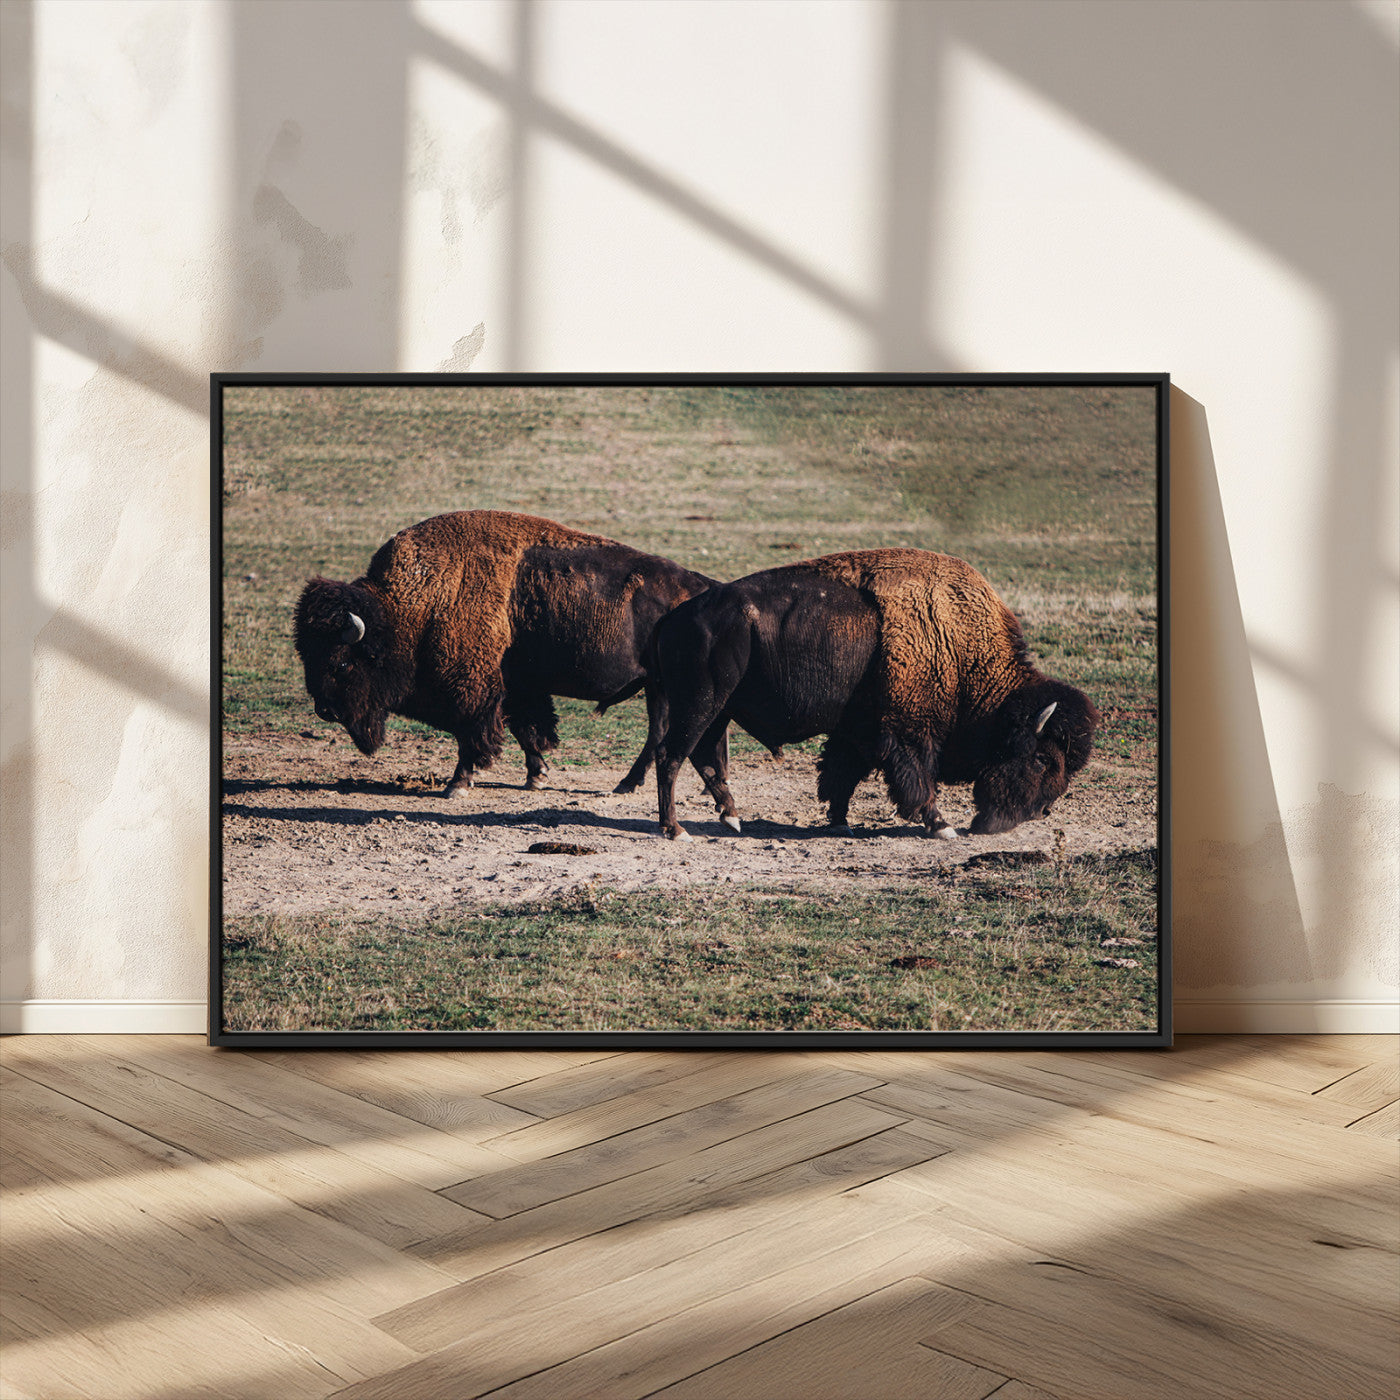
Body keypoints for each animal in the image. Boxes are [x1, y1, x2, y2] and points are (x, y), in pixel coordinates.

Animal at [294, 510, 715, 795]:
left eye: (341, 662)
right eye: (306, 656)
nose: (325, 710)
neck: (413, 607)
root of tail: (703, 587)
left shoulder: (473, 691)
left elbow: (473, 735)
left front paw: (457, 785)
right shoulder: (517, 686)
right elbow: (527, 730)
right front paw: (536, 777)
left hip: (662, 685)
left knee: (659, 731)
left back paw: (627, 784)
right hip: (657, 686)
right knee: (661, 730)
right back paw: (631, 783)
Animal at [648, 548, 1099, 840]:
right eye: (1041, 759)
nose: (1040, 811)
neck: (958, 646)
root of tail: (674, 618)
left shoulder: (858, 731)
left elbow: (841, 774)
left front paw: (839, 821)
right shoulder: (908, 732)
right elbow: (917, 779)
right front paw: (942, 826)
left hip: (719, 710)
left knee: (704, 758)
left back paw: (731, 818)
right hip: (701, 705)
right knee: (671, 756)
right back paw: (676, 830)